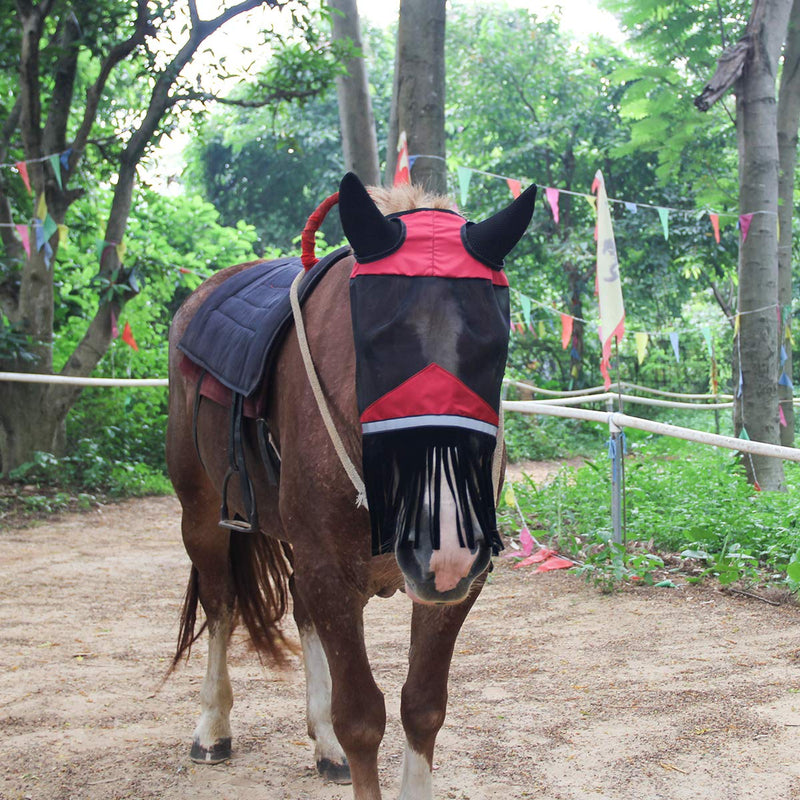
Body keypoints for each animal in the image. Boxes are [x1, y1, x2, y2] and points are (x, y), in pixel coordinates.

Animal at [165, 172, 536, 796]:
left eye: (496, 349)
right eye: (376, 349)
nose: (444, 547)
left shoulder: (460, 582)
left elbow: (423, 707)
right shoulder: (331, 570)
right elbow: (361, 717)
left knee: (298, 609)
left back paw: (324, 747)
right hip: (201, 512)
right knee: (221, 604)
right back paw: (213, 727)